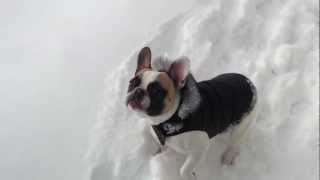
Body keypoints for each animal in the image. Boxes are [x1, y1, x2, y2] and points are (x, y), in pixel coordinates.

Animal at [125, 47, 258, 179]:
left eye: (156, 91)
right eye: (132, 83)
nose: (138, 91)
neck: (172, 117)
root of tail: (249, 83)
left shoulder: (199, 149)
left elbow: (184, 169)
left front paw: (189, 176)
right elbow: (160, 144)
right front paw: (160, 151)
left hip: (242, 124)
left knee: (235, 142)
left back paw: (229, 156)